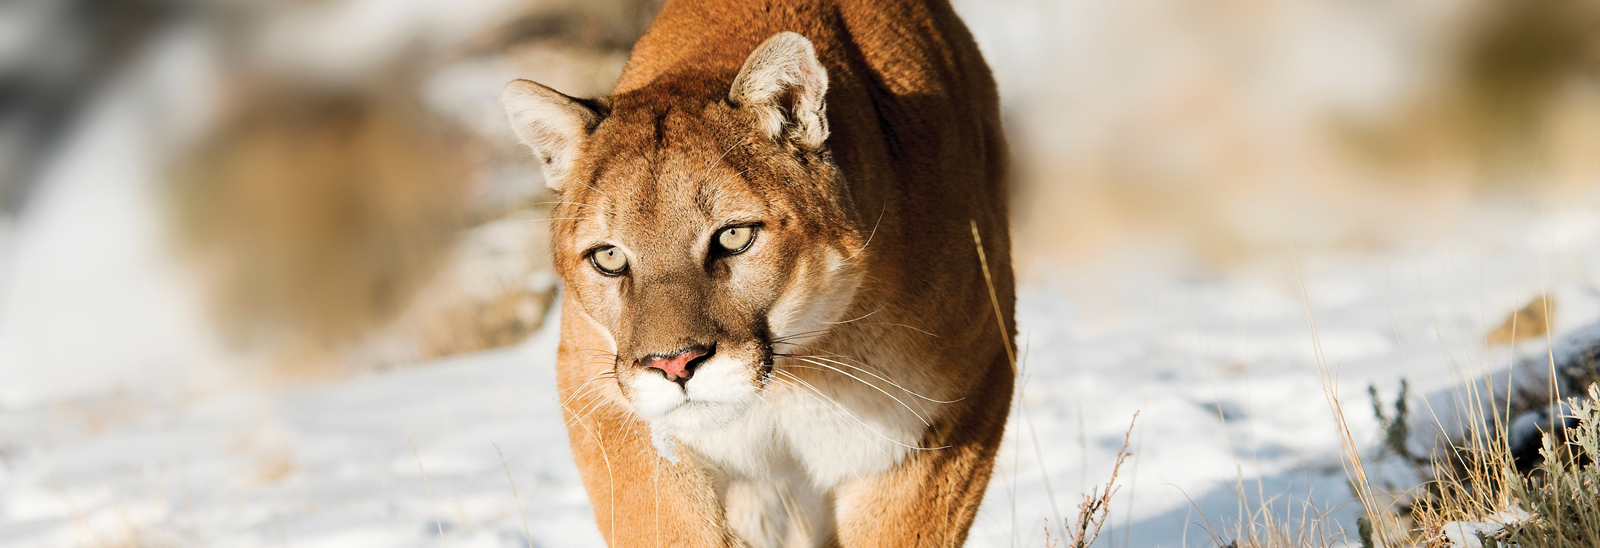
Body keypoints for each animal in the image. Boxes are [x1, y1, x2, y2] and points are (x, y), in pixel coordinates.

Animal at [501, 0, 1013, 545]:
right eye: (610, 258)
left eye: (733, 236)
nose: (674, 366)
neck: (792, 377)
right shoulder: (606, 403)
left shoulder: (948, 410)